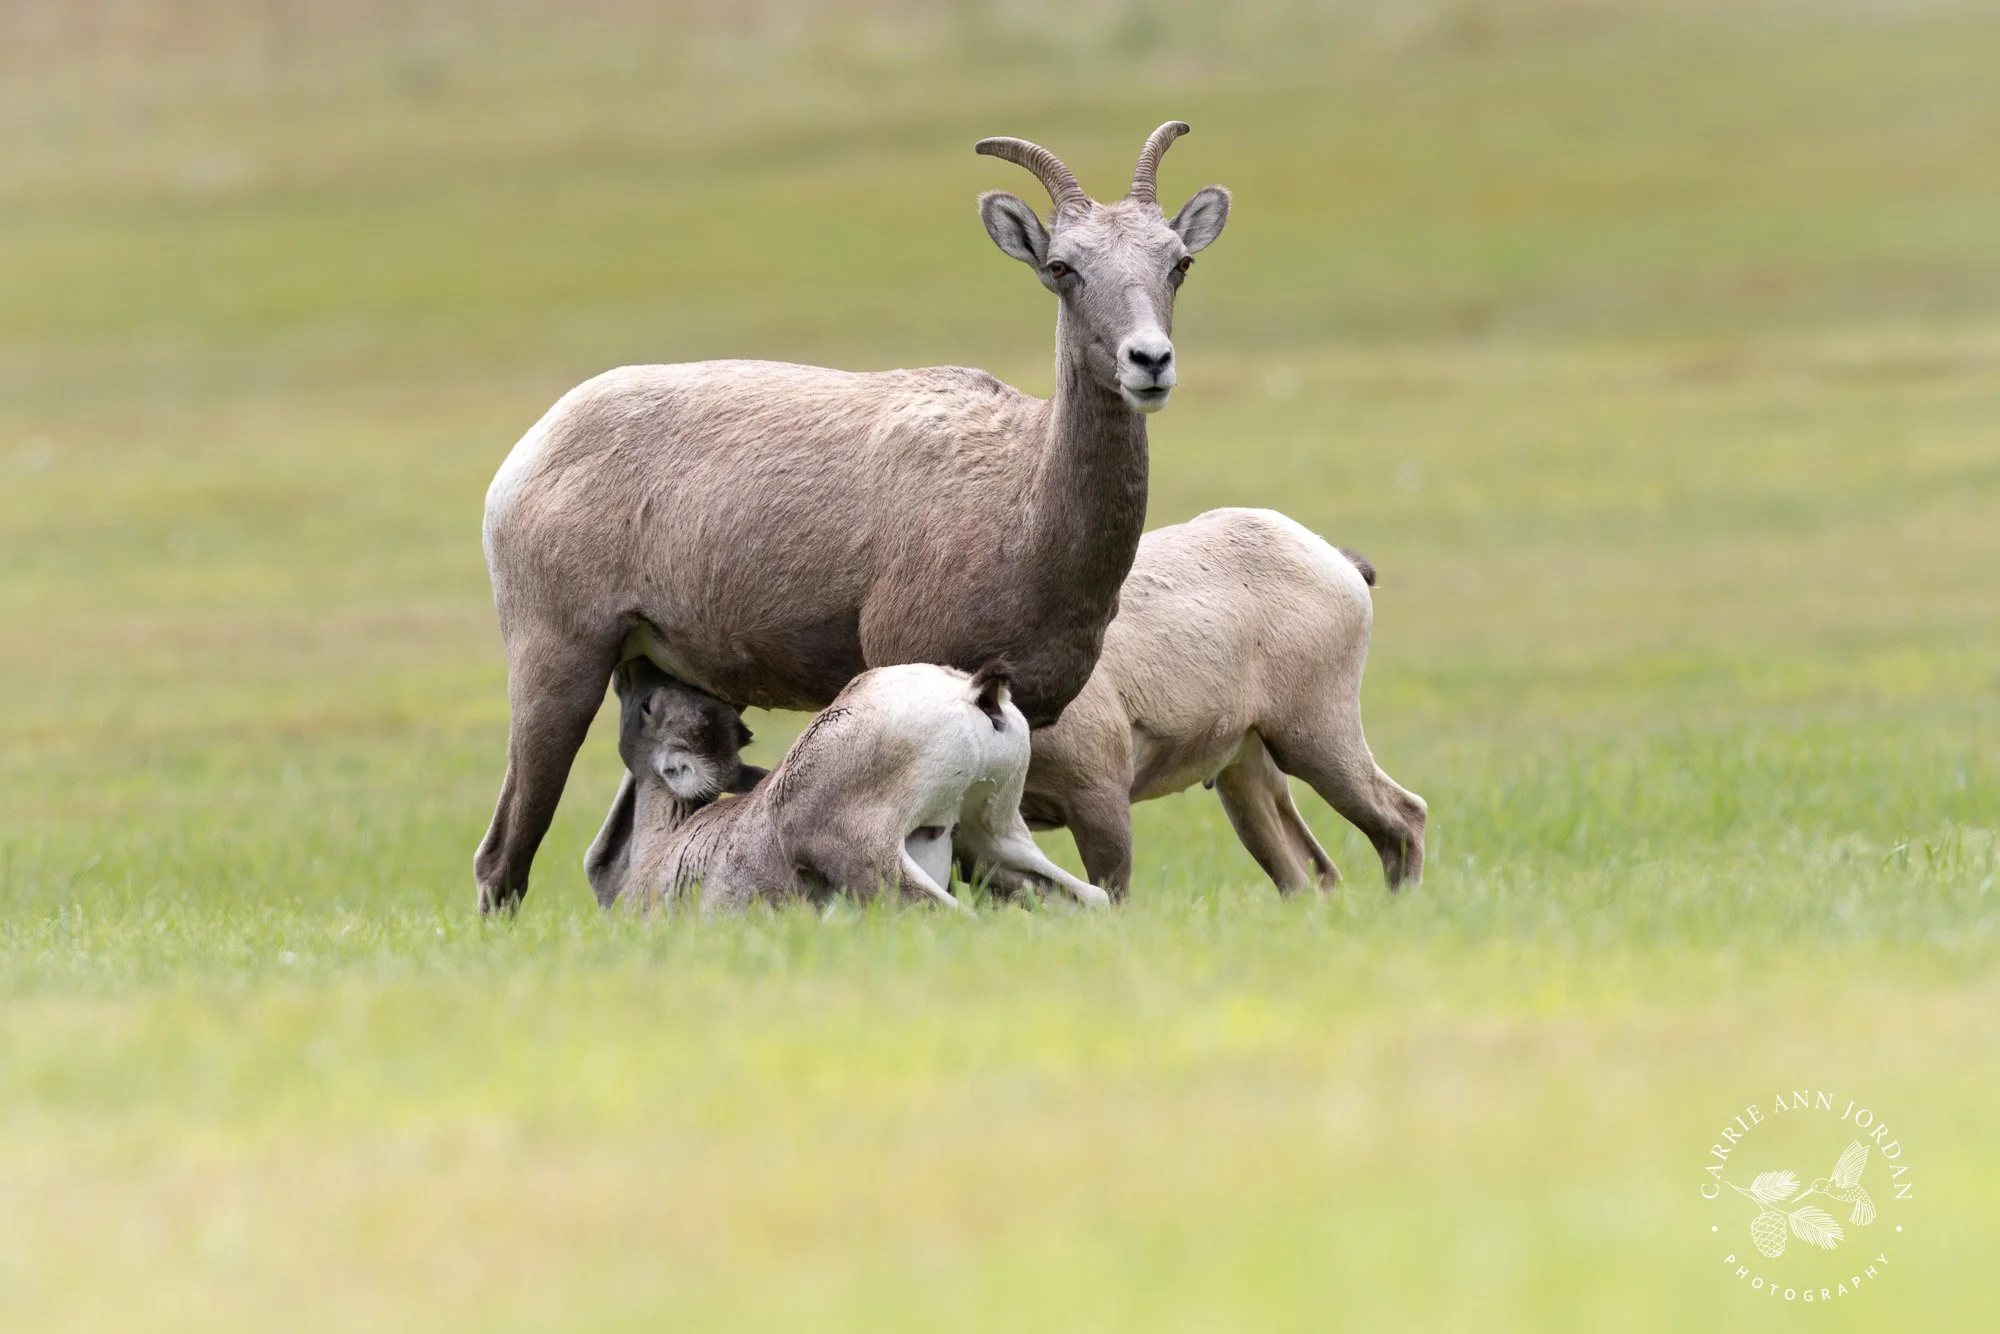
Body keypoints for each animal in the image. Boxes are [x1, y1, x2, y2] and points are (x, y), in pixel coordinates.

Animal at [1004, 508, 1427, 899]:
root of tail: (1341, 562)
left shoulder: (1099, 797)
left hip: (1314, 741)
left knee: (1405, 818)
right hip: (1245, 776)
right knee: (1309, 876)